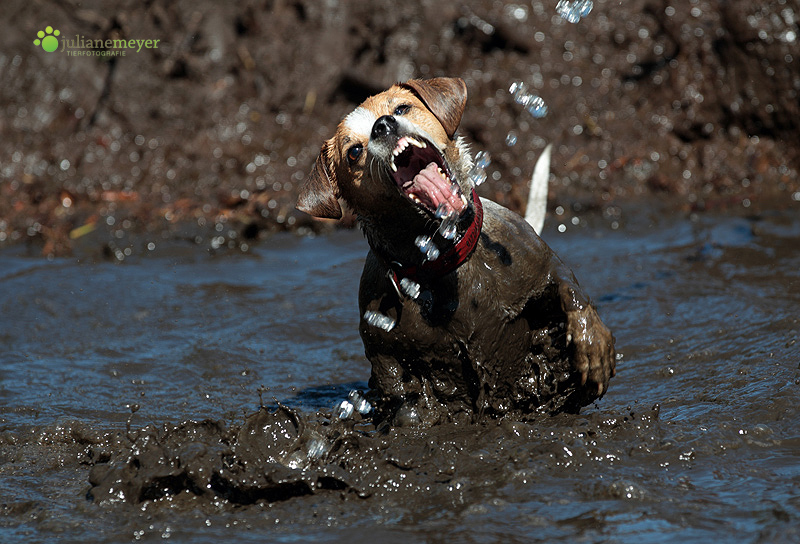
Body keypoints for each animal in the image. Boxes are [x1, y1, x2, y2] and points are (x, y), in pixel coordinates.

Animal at [296, 76, 616, 424]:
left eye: (401, 108)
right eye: (354, 151)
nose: (383, 126)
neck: (443, 258)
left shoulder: (542, 264)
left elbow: (569, 289)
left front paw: (591, 344)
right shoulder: (382, 348)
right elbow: (402, 394)